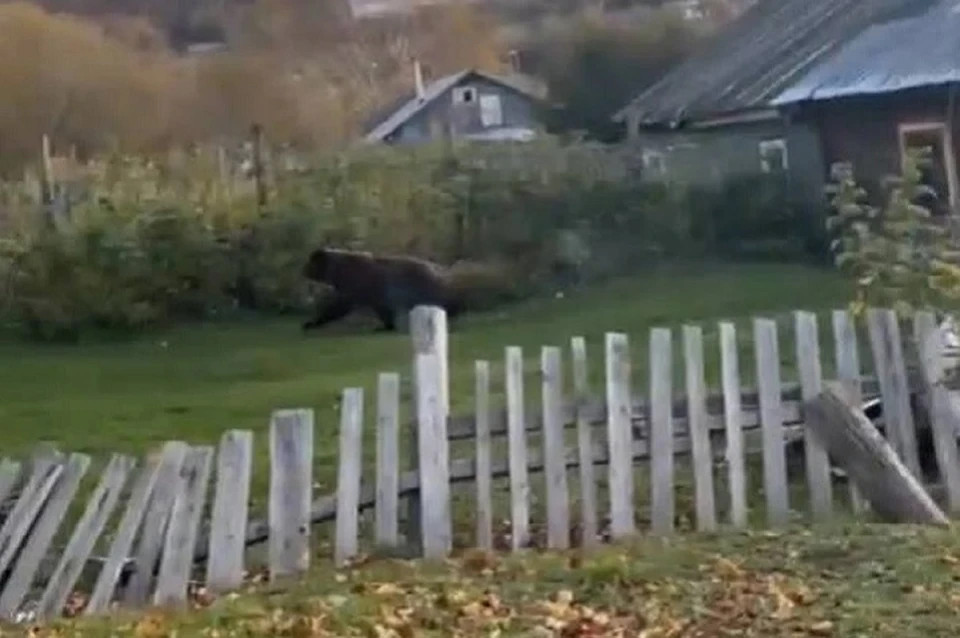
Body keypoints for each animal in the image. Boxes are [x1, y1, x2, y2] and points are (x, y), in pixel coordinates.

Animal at [302, 248, 464, 332]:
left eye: (310, 264)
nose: (303, 271)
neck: (337, 272)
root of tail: (435, 266)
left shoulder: (355, 287)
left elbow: (339, 307)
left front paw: (312, 322)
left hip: (421, 287)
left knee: (440, 299)